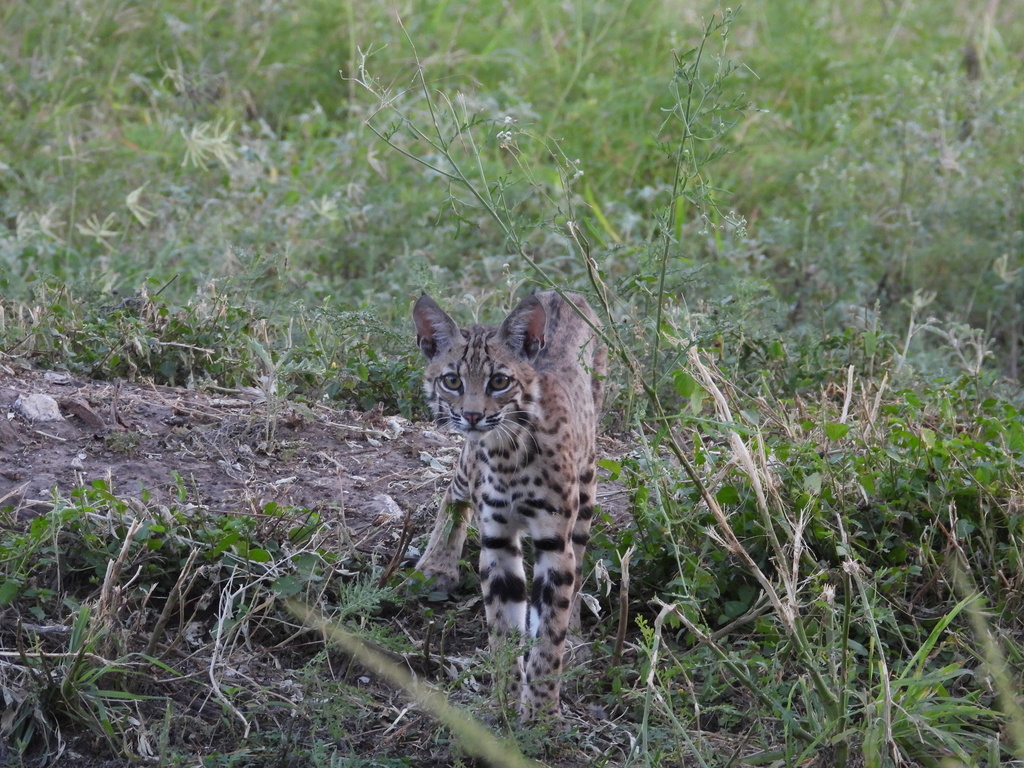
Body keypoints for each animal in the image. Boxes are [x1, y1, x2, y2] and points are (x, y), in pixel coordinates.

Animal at [409, 290, 602, 720]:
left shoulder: (554, 541)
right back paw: (436, 564)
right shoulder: (496, 538)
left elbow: (549, 632)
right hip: (470, 467)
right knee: (455, 486)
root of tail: (559, 292)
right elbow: (501, 625)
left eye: (499, 381)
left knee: (579, 565)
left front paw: (542, 714)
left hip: (586, 488)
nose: (472, 415)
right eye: (452, 380)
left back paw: (576, 637)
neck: (506, 448)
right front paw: (506, 699)